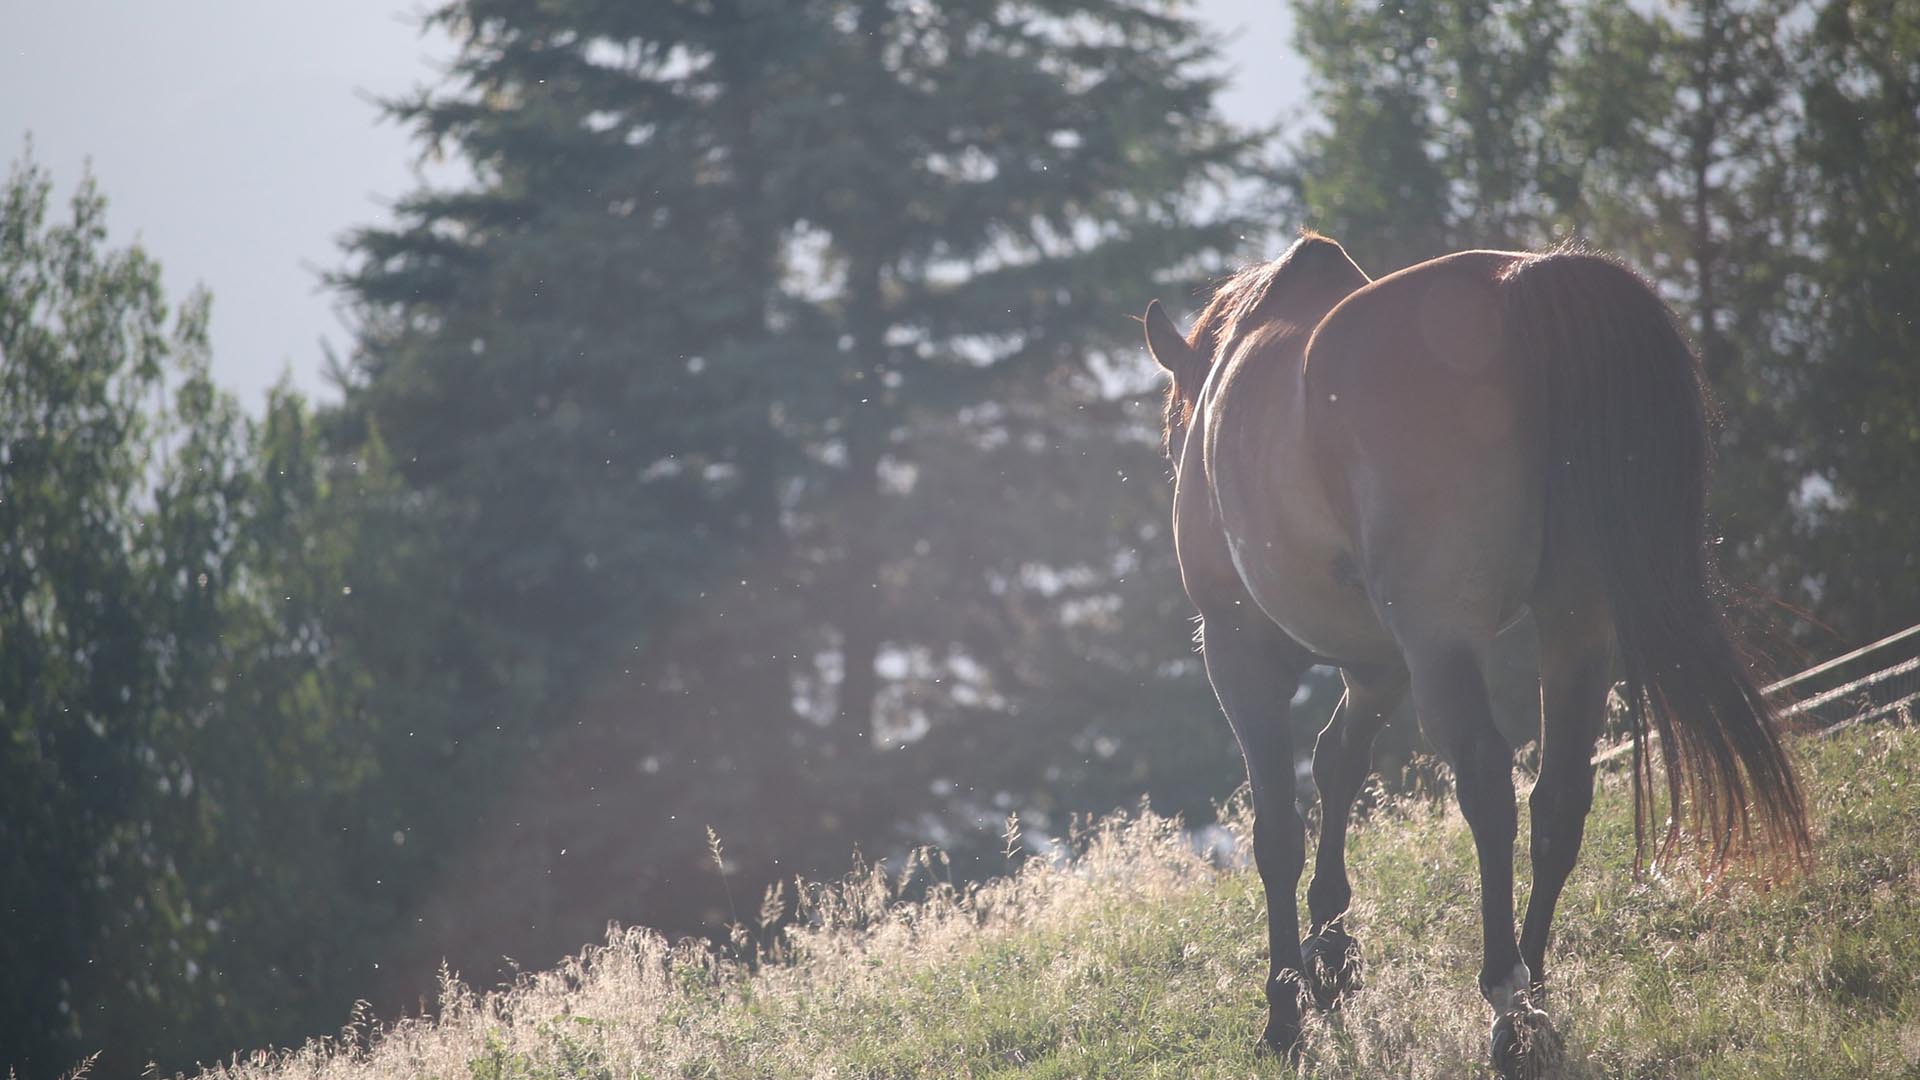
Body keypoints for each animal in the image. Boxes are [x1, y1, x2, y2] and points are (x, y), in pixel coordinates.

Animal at [1141, 233, 1810, 1078]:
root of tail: (1525, 285)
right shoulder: (1380, 665)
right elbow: (1337, 764)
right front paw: (1331, 959)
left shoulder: (1242, 653)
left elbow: (1277, 833)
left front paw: (1287, 1010)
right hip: (1576, 623)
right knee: (1558, 797)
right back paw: (1535, 991)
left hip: (1442, 635)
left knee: (1489, 783)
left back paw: (1506, 1004)